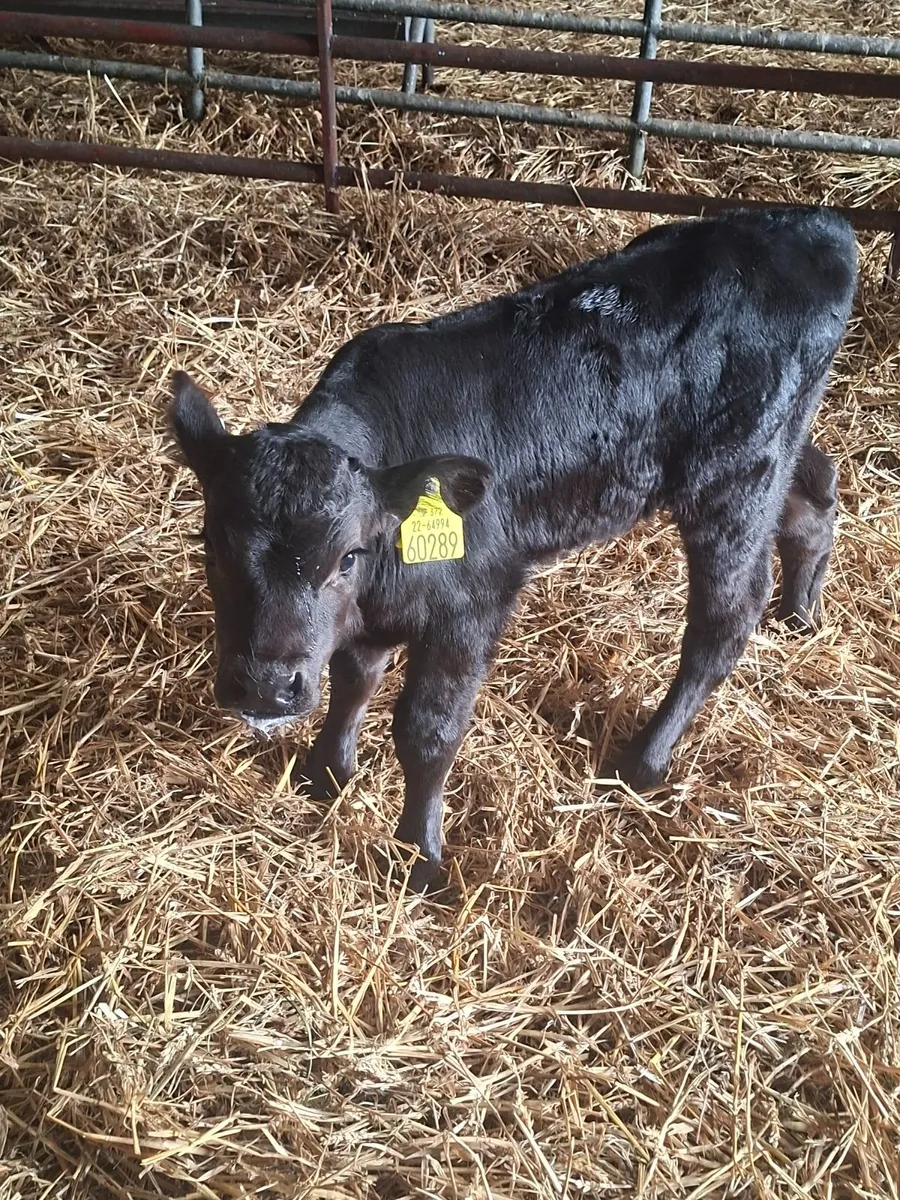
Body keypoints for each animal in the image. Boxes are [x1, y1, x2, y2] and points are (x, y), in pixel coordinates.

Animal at [168, 206, 857, 892]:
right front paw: (328, 773)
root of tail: (816, 224)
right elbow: (353, 677)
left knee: (724, 619)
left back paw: (644, 760)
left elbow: (427, 733)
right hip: (774, 451)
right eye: (213, 546)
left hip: (734, 478)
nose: (264, 688)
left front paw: (421, 858)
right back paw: (802, 610)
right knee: (815, 495)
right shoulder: (374, 611)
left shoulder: (473, 604)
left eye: (346, 556)